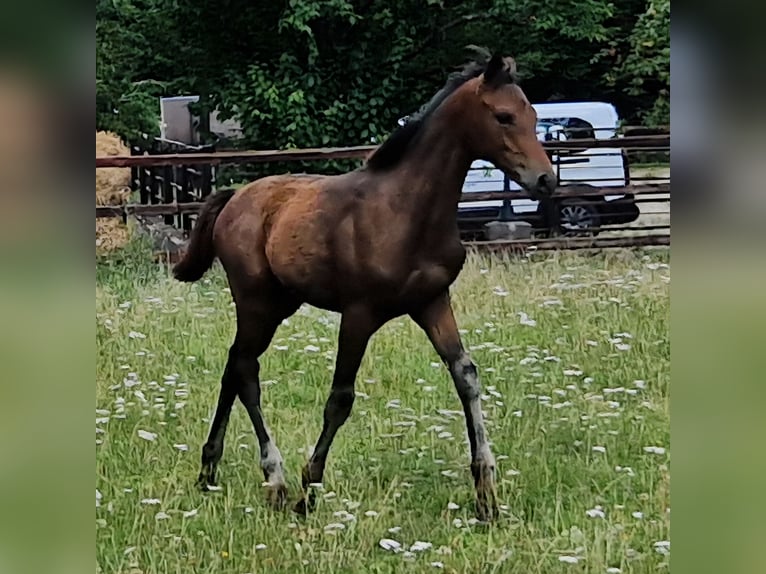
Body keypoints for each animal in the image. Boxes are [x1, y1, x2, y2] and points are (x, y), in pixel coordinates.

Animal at [173, 51, 556, 522]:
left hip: (280, 303)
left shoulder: (433, 301)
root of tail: (235, 196)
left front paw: (487, 495)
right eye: (503, 116)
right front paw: (308, 491)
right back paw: (276, 480)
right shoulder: (359, 313)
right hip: (255, 300)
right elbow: (340, 398)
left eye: (533, 115)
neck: (406, 210)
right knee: (246, 372)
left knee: (234, 365)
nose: (546, 180)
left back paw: (209, 470)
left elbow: (465, 375)